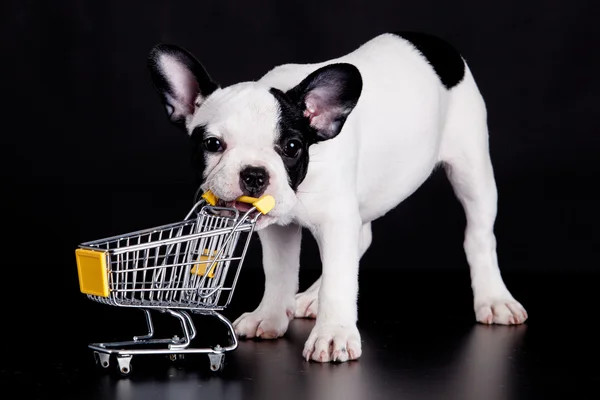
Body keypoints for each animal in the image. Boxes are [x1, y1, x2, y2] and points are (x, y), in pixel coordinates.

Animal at [148, 31, 528, 362]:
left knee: (478, 236)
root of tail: (436, 44)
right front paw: (270, 316)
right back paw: (310, 298)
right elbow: (280, 272)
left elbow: (340, 280)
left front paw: (333, 335)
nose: (255, 174)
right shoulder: (280, 228)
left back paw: (494, 298)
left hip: (472, 169)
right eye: (213, 144)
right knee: (359, 241)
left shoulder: (336, 220)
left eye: (291, 147)